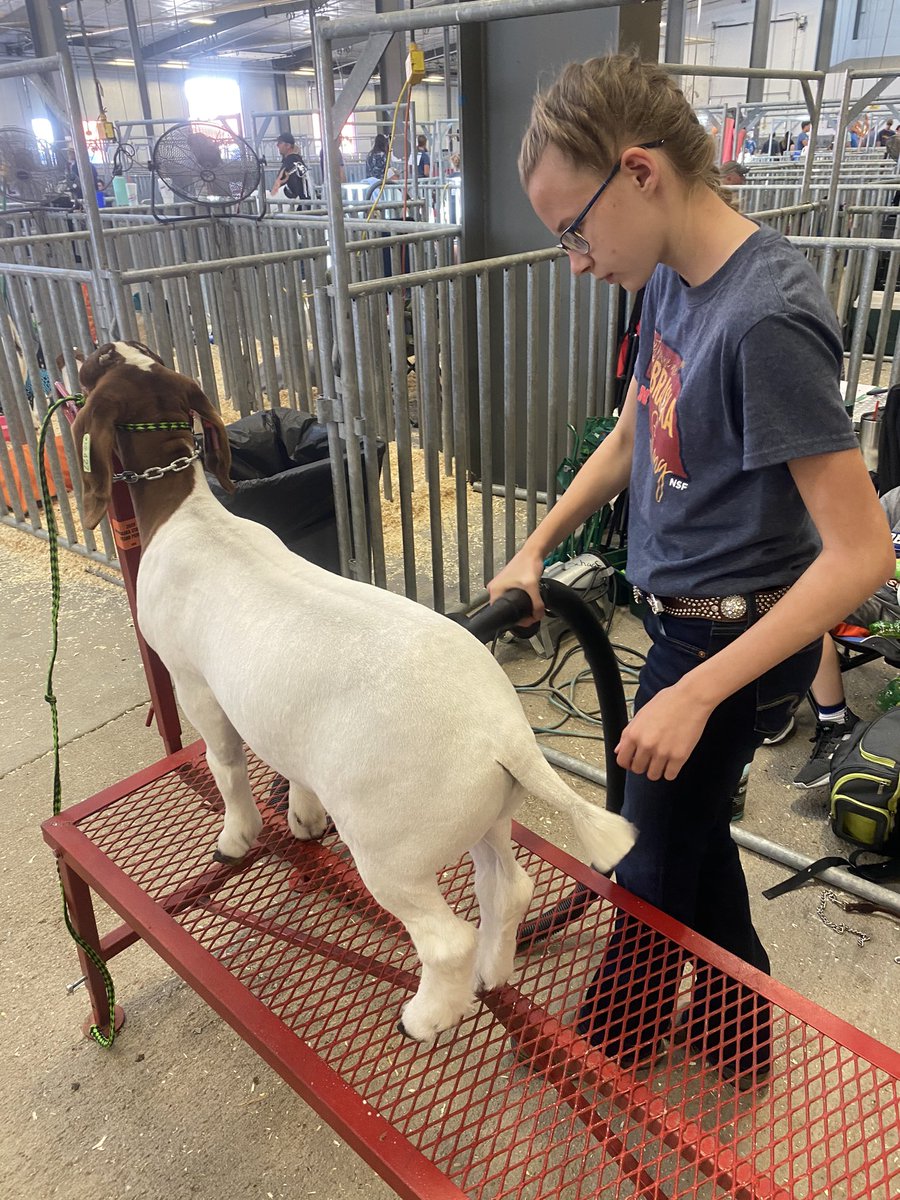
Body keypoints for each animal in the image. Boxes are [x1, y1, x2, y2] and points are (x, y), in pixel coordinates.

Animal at [74, 338, 643, 1041]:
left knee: (444, 939)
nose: (85, 357)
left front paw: (234, 841)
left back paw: (425, 1017)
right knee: (507, 889)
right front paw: (304, 819)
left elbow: (226, 763)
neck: (192, 518)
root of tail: (504, 736)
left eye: (99, 360)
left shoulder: (192, 678)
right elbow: (292, 767)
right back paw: (493, 972)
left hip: (392, 850)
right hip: (485, 815)